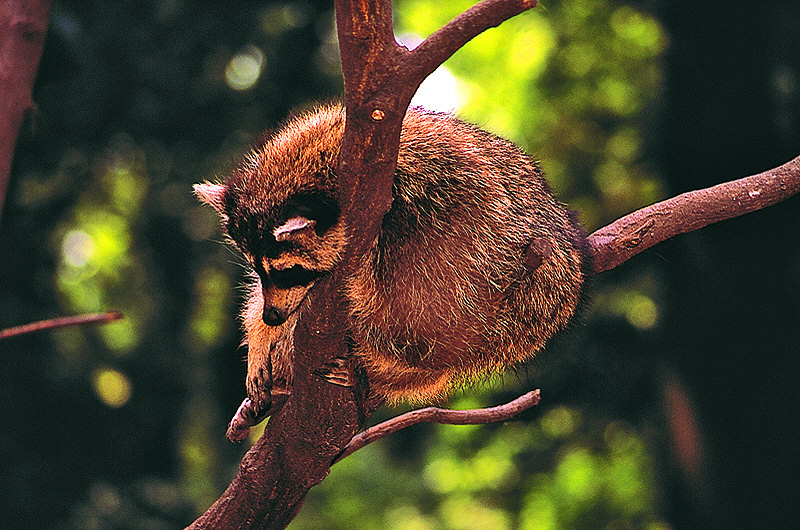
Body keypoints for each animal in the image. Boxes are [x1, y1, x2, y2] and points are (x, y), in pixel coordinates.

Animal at [197, 102, 592, 424]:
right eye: (259, 270)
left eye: (289, 271)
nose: (272, 317)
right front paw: (260, 335)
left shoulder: (433, 196)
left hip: (527, 298)